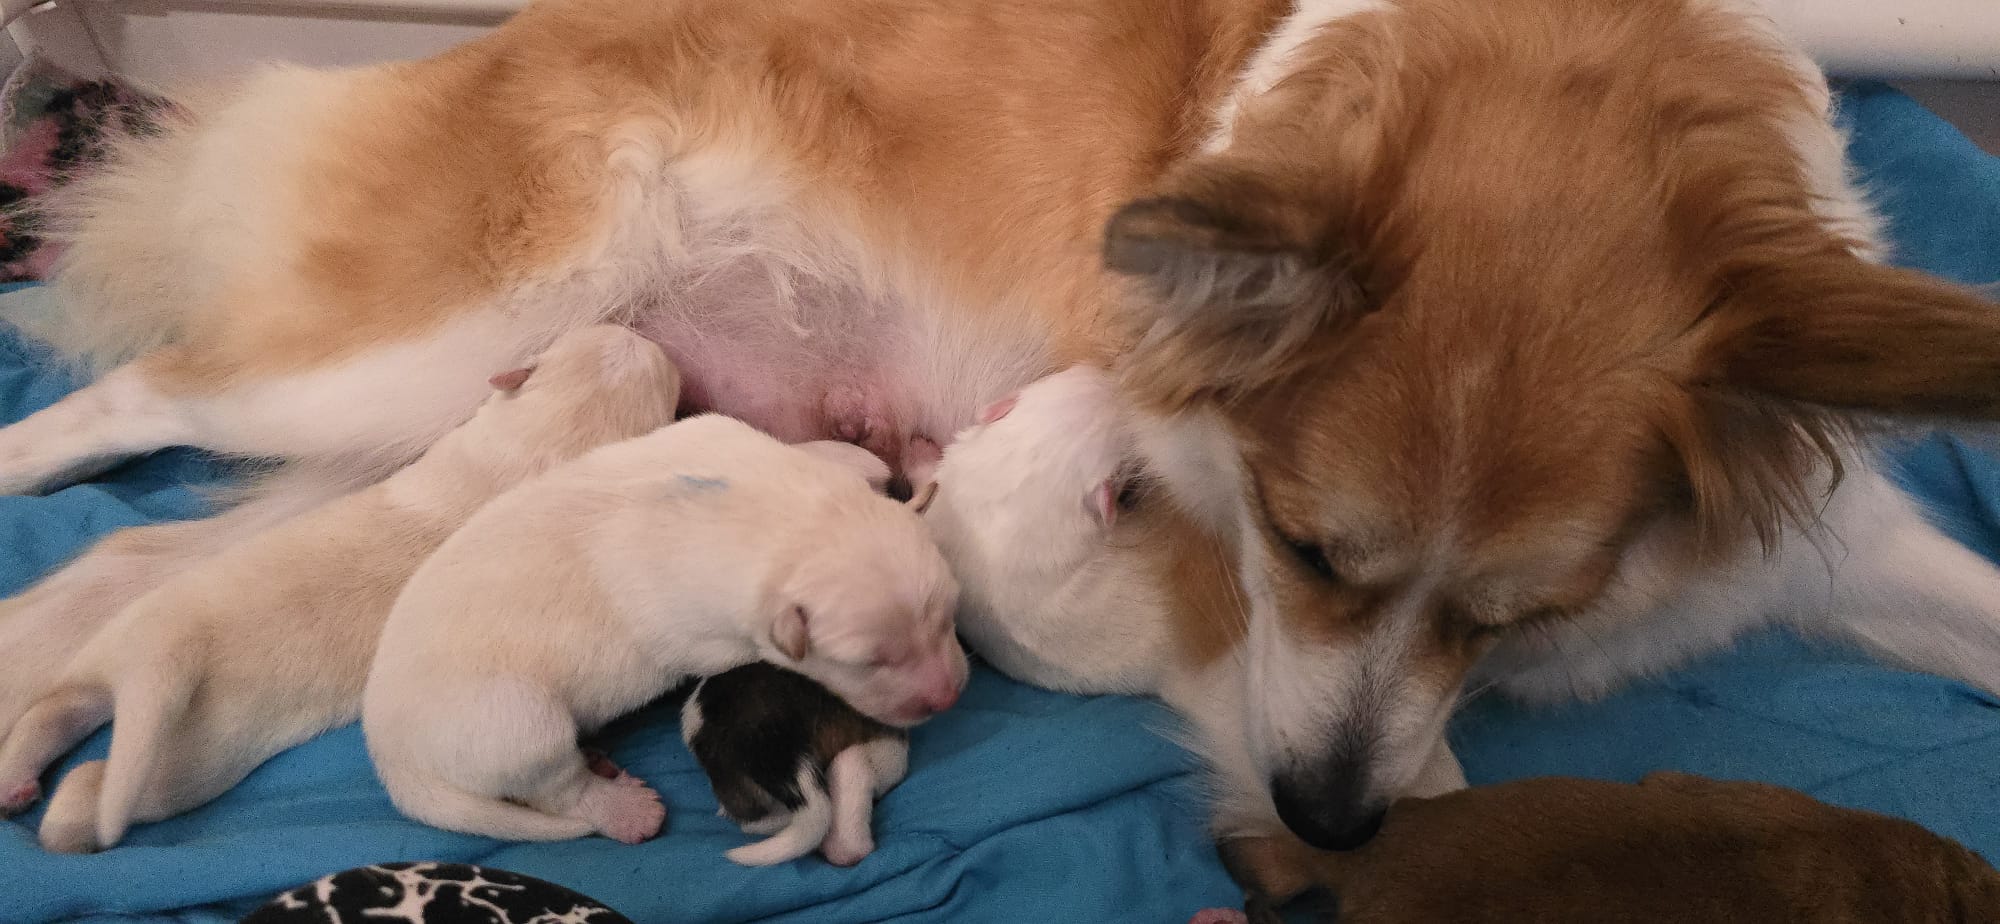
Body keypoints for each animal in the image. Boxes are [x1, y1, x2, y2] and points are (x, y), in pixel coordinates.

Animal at [0, 324, 680, 852]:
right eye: (670, 380)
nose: (645, 332)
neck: (533, 442)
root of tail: (157, 660)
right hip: (193, 755)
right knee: (93, 788)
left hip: (110, 652)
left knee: (59, 707)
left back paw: (15, 776)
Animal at [362, 416, 968, 844]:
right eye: (869, 661)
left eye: (950, 615)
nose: (949, 696)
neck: (778, 518)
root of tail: (388, 750)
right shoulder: (703, 637)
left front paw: (854, 458)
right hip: (512, 724)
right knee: (556, 787)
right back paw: (624, 808)